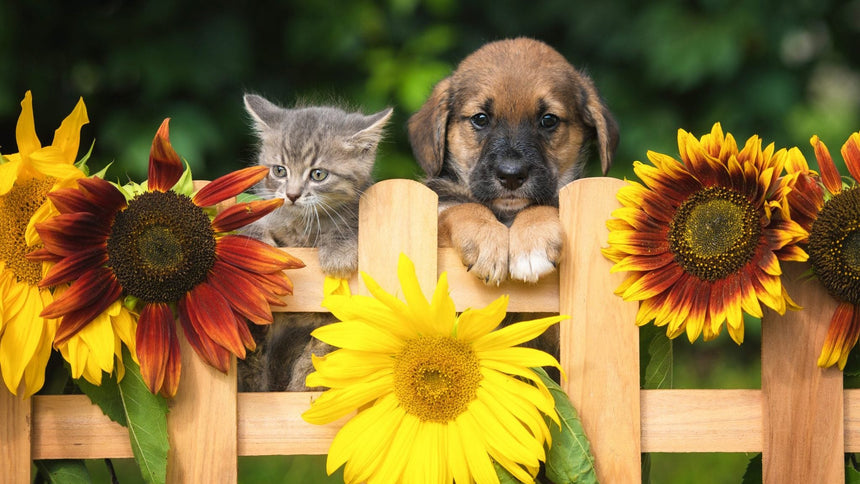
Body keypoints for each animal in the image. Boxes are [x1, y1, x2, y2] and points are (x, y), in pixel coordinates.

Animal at [239, 94, 394, 394]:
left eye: (318, 174)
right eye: (279, 170)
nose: (292, 194)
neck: (304, 225)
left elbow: (348, 224)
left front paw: (338, 253)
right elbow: (254, 222)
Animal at [408, 38, 620, 288]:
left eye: (549, 120)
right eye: (480, 118)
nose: (511, 176)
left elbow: (541, 206)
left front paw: (533, 243)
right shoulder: (443, 207)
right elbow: (463, 207)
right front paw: (486, 241)